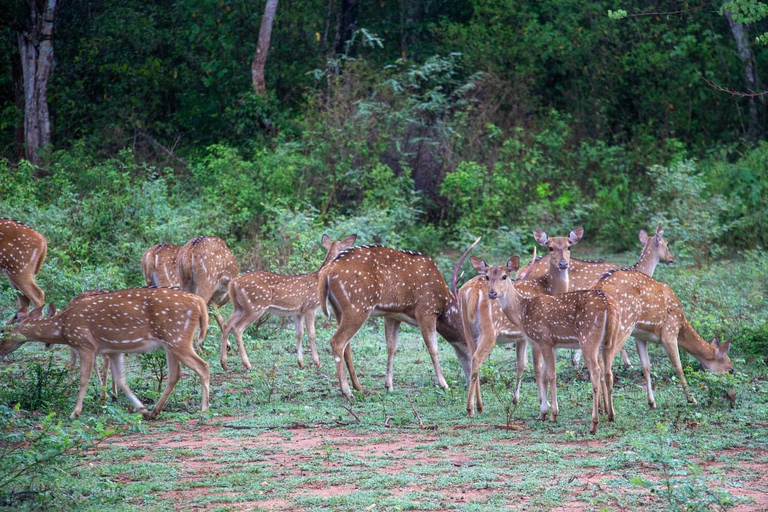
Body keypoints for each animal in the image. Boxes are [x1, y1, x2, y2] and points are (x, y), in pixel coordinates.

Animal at [0, 286, 210, 418]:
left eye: (5, 331)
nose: (1, 350)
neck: (63, 327)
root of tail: (199, 303)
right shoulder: (114, 350)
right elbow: (121, 380)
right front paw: (141, 409)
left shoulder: (85, 344)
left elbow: (84, 378)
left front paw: (75, 412)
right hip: (170, 342)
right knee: (176, 373)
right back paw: (155, 411)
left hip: (177, 337)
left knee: (203, 366)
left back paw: (204, 409)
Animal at [219, 235, 356, 372]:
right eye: (342, 249)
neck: (319, 279)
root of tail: (233, 283)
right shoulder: (310, 307)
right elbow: (311, 333)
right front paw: (317, 362)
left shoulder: (298, 312)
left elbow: (299, 333)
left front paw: (301, 363)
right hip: (254, 306)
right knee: (237, 328)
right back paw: (247, 364)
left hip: (239, 307)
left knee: (226, 325)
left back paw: (224, 364)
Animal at [318, 245, 474, 400]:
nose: (470, 379)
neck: (443, 305)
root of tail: (328, 269)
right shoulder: (426, 310)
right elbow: (433, 348)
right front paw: (444, 385)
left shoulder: (393, 315)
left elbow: (391, 347)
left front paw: (389, 386)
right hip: (358, 305)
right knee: (337, 341)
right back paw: (347, 391)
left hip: (339, 309)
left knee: (347, 346)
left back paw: (358, 387)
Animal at [486, 250, 624, 434]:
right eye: (487, 276)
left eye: (504, 276)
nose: (492, 293)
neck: (523, 312)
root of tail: (608, 304)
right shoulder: (551, 344)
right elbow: (545, 374)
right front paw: (544, 412)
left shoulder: (543, 339)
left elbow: (550, 374)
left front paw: (551, 413)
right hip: (609, 340)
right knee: (608, 373)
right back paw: (611, 415)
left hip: (588, 337)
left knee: (595, 371)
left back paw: (594, 423)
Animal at [592, 268, 732, 408]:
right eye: (731, 369)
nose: (729, 395)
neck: (681, 324)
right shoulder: (669, 331)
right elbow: (678, 367)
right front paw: (691, 399)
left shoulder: (640, 336)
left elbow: (646, 366)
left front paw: (652, 402)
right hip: (623, 325)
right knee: (604, 364)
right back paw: (607, 408)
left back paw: (601, 406)